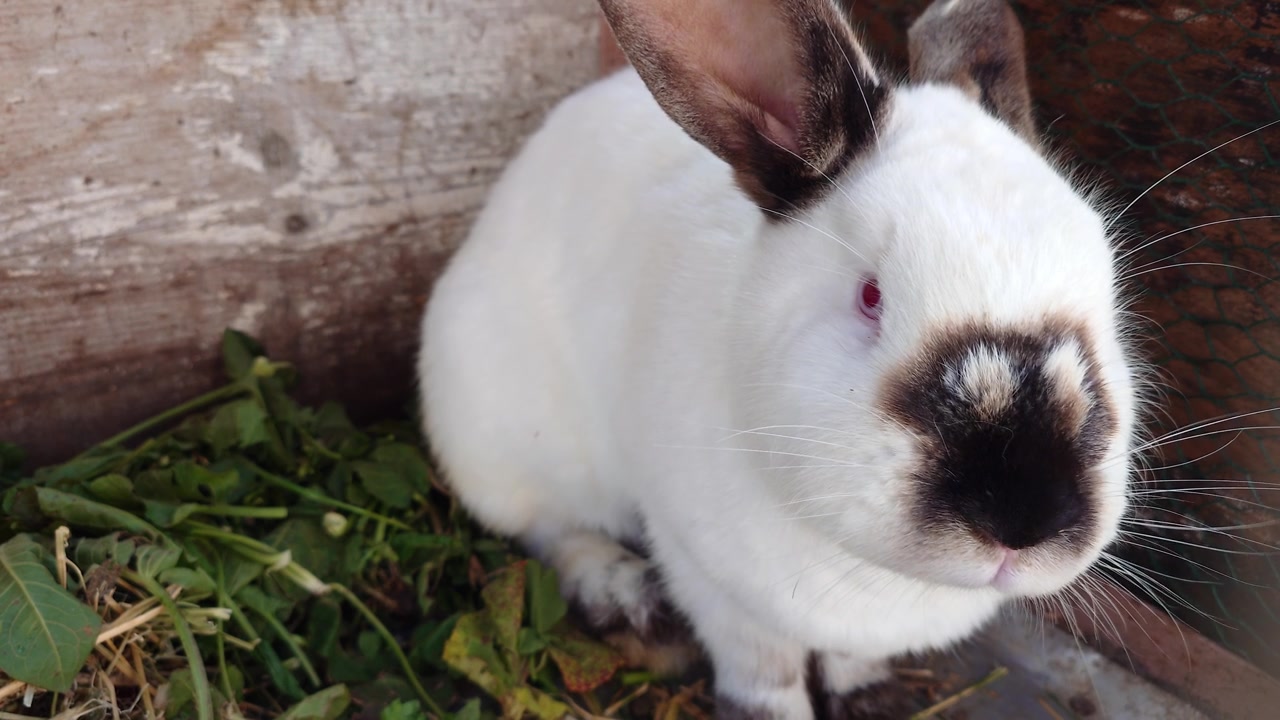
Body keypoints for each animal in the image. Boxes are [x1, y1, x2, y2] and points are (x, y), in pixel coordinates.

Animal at [417, 0, 1141, 712]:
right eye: (871, 296)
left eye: (1108, 292)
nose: (1027, 517)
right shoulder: (707, 576)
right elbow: (763, 670)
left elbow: (849, 661)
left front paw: (866, 692)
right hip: (494, 434)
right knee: (549, 526)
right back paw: (625, 599)